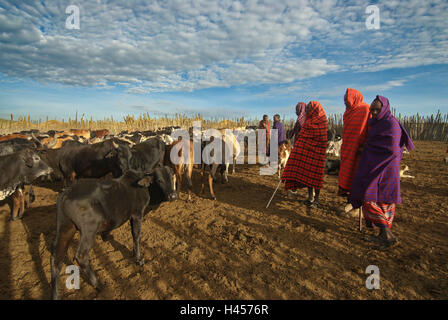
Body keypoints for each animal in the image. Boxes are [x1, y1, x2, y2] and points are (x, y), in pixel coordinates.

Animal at [51, 168, 178, 300]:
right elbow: (136, 235)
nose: (173, 196)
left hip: (65, 228)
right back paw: (99, 285)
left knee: (56, 257)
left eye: (171, 176)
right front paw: (138, 259)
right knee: (81, 256)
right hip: (88, 231)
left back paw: (55, 294)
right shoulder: (137, 214)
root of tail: (66, 193)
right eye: (159, 180)